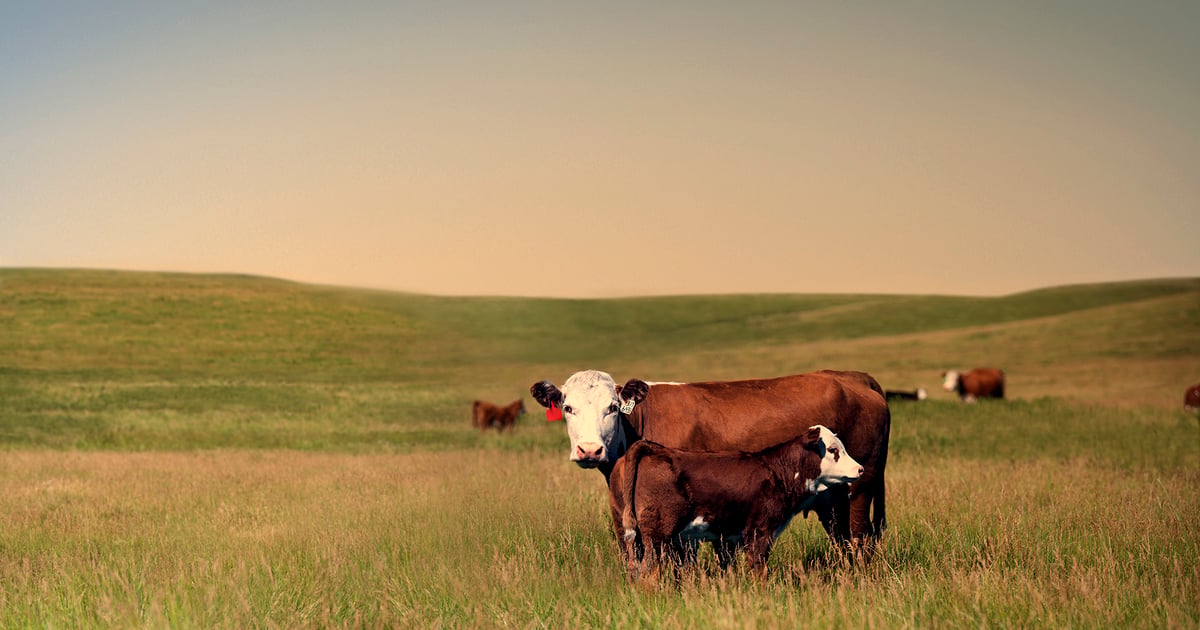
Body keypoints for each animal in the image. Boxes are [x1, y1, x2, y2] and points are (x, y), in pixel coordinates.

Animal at [529, 369, 890, 550]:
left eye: (613, 407)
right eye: (568, 408)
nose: (589, 450)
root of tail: (852, 376)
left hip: (859, 488)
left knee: (860, 539)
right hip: (834, 502)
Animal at [615, 425, 863, 580]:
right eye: (832, 449)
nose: (860, 469)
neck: (777, 471)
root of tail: (656, 449)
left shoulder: (730, 538)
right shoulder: (759, 532)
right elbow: (758, 571)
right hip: (657, 537)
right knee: (648, 574)